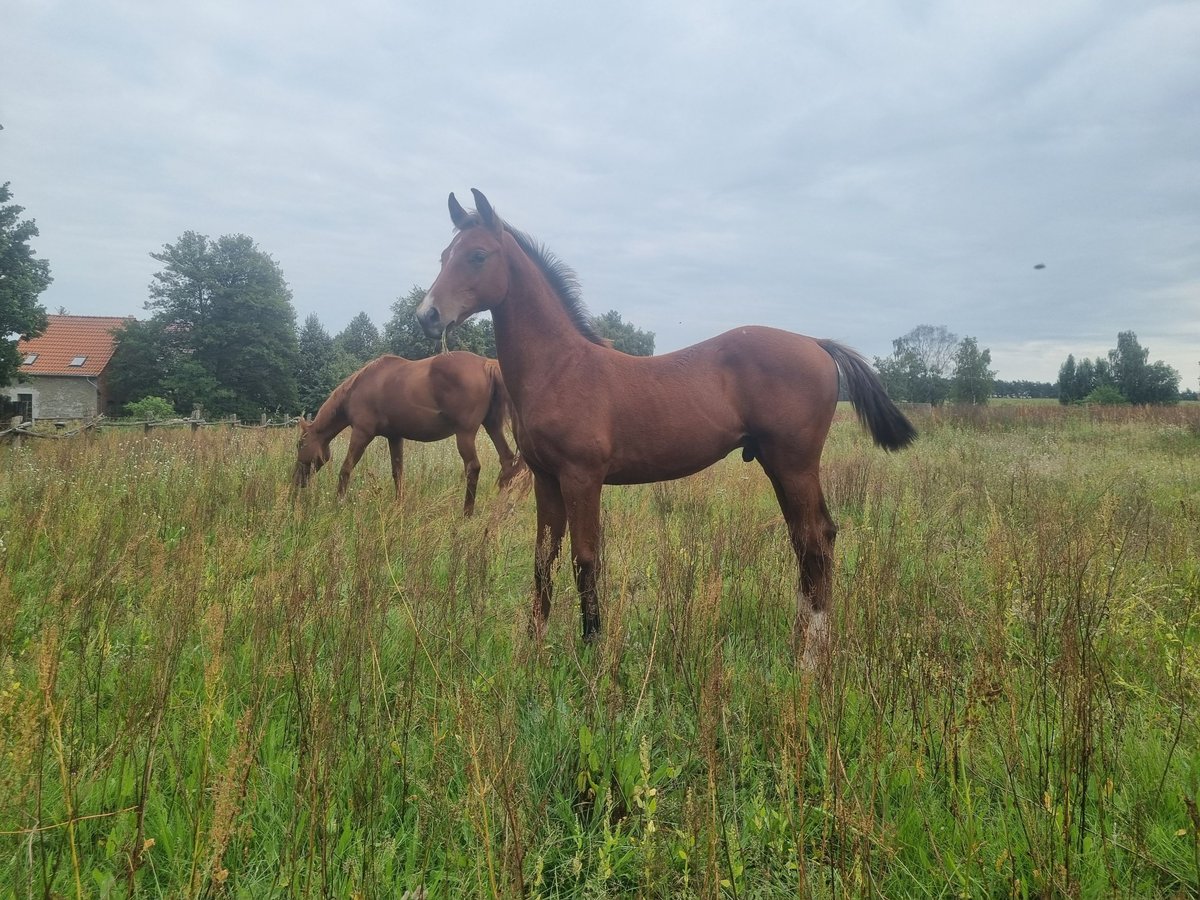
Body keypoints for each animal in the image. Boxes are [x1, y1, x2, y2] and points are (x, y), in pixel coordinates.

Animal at [292, 350, 523, 513]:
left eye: (300, 444)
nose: (296, 482)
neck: (360, 387)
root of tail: (486, 364)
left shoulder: (361, 433)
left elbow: (346, 468)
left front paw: (338, 503)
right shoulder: (395, 437)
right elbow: (398, 472)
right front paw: (399, 506)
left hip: (465, 434)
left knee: (473, 467)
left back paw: (467, 513)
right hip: (492, 426)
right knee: (506, 460)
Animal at [417, 190, 912, 667]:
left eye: (478, 255)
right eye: (443, 255)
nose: (427, 315)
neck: (562, 369)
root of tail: (816, 343)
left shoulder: (582, 478)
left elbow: (585, 558)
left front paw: (592, 651)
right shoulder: (545, 479)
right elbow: (544, 559)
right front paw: (533, 650)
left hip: (795, 465)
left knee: (815, 542)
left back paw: (810, 657)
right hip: (780, 466)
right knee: (807, 540)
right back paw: (800, 643)